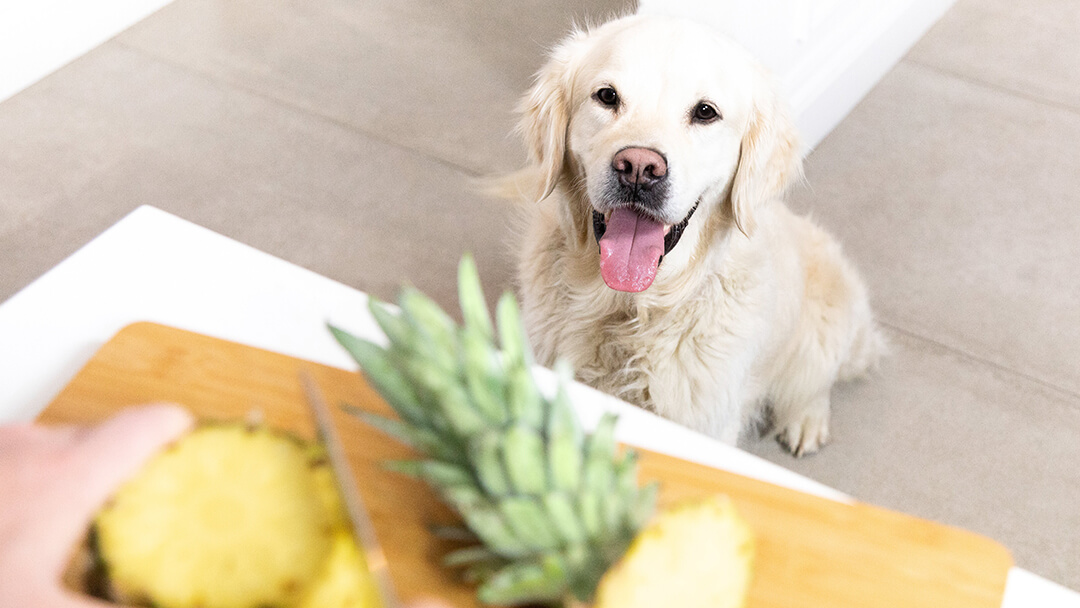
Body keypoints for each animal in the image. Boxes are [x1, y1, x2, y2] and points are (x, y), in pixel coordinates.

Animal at [509, 14, 881, 457]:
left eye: (705, 112)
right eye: (607, 96)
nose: (639, 168)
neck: (631, 310)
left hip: (829, 316)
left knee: (816, 380)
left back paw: (806, 420)